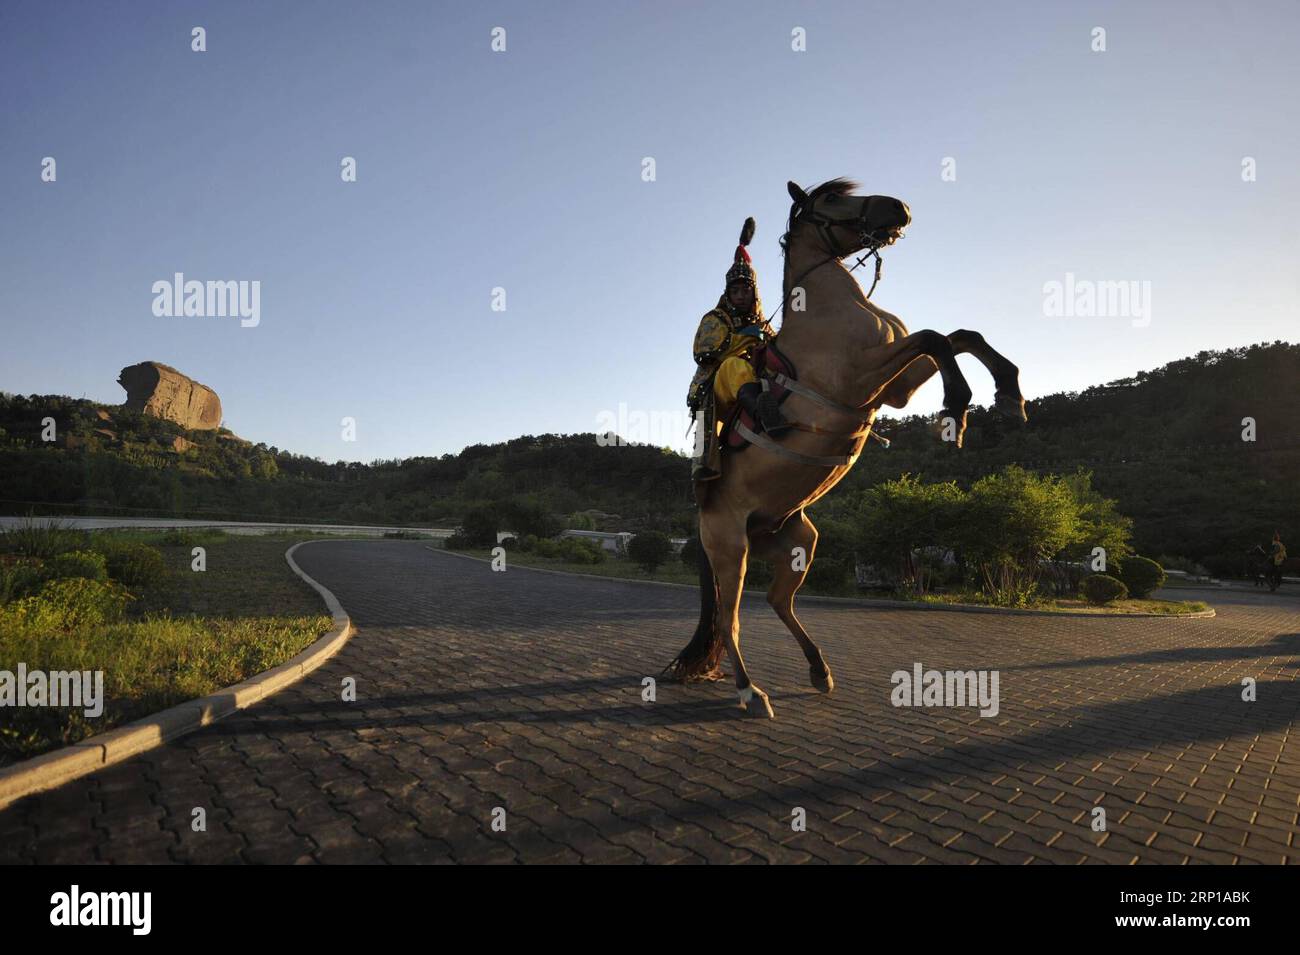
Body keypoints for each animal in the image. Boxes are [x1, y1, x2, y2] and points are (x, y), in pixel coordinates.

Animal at [670, 178, 1024, 717]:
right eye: (832, 198)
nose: (900, 208)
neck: (830, 310)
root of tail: (704, 515)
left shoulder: (894, 388)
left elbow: (959, 335)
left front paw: (1009, 393)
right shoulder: (862, 378)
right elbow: (935, 337)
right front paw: (957, 407)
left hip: (798, 542)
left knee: (778, 601)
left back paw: (819, 670)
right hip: (732, 551)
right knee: (730, 620)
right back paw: (752, 692)